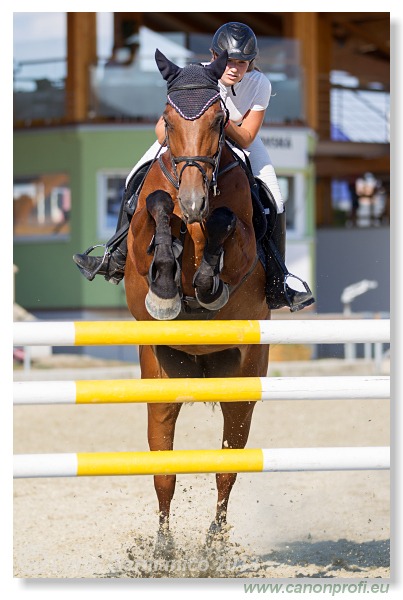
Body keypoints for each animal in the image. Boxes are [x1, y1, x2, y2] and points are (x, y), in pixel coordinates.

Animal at [125, 50, 272, 552]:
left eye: (219, 119)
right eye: (168, 120)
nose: (191, 201)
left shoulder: (243, 246)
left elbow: (225, 224)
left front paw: (205, 283)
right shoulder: (141, 239)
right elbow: (155, 208)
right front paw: (167, 286)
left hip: (242, 383)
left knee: (228, 465)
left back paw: (215, 542)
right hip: (160, 376)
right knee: (164, 470)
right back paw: (165, 547)